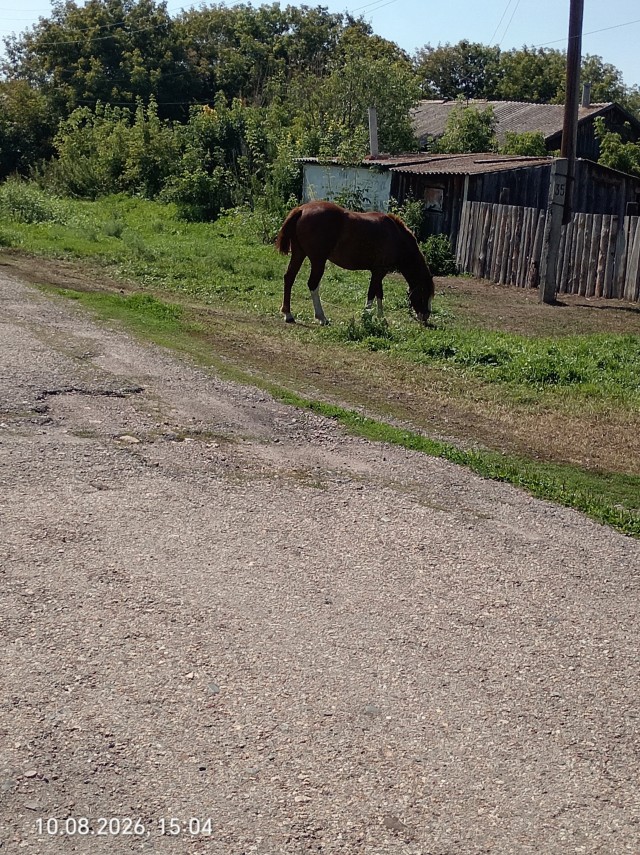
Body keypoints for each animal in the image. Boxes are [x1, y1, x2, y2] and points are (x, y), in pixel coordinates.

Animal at [275, 200, 434, 326]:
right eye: (424, 294)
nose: (425, 317)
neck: (396, 236)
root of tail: (301, 209)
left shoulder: (378, 271)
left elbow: (379, 294)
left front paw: (381, 319)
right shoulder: (379, 271)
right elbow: (371, 293)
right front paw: (366, 317)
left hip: (299, 254)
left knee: (289, 278)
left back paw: (288, 314)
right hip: (318, 260)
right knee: (312, 284)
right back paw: (322, 318)